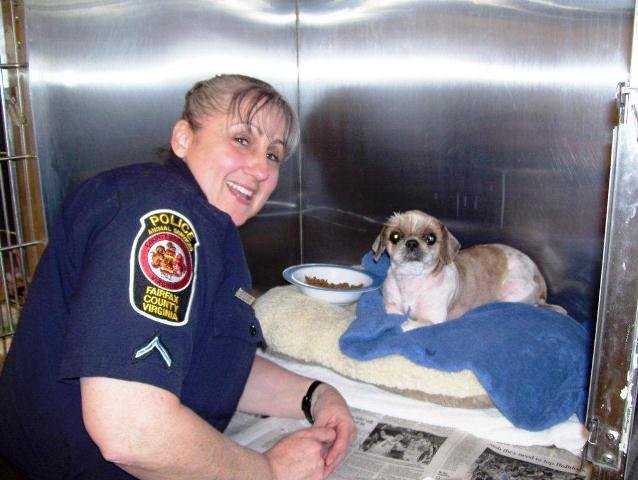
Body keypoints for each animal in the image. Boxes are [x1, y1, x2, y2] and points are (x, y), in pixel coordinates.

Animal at [372, 210, 568, 330]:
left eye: (431, 238)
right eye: (395, 236)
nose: (412, 242)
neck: (412, 281)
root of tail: (537, 274)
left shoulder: (432, 318)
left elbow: (405, 325)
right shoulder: (391, 301)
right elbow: (392, 310)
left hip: (512, 295)